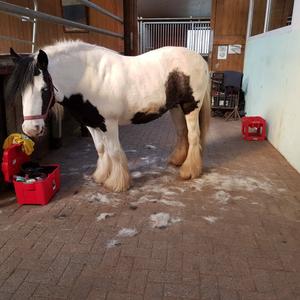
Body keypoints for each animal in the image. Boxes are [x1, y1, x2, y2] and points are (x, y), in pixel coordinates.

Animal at [5, 39, 210, 192]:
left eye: (44, 89)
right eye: (21, 91)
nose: (31, 129)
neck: (89, 78)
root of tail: (200, 59)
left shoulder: (108, 124)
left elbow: (113, 151)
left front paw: (117, 183)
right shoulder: (91, 124)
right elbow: (101, 150)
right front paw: (101, 176)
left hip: (191, 107)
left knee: (193, 136)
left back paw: (189, 171)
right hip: (176, 108)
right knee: (182, 133)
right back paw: (178, 161)